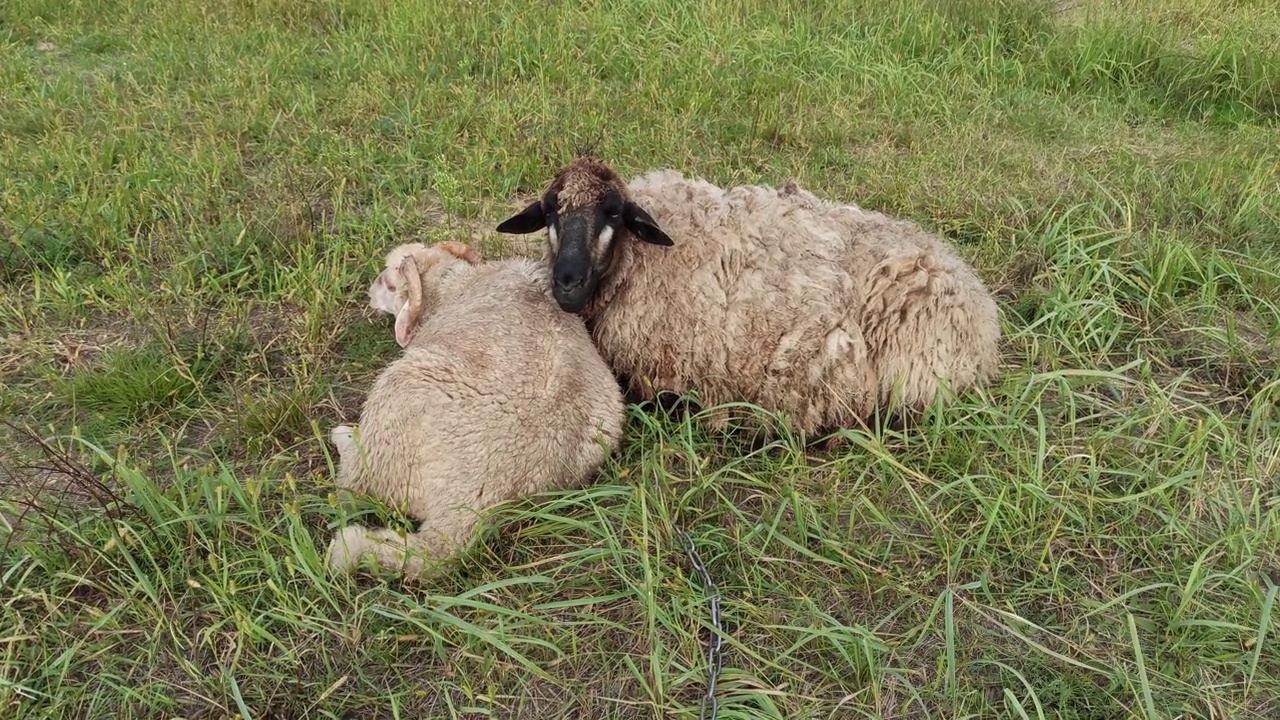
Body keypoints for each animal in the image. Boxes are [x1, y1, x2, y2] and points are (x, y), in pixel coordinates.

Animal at [322, 240, 627, 576]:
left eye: (389, 283)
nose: (368, 293)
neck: (454, 284)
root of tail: (468, 511)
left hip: (393, 403)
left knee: (350, 488)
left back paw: (343, 438)